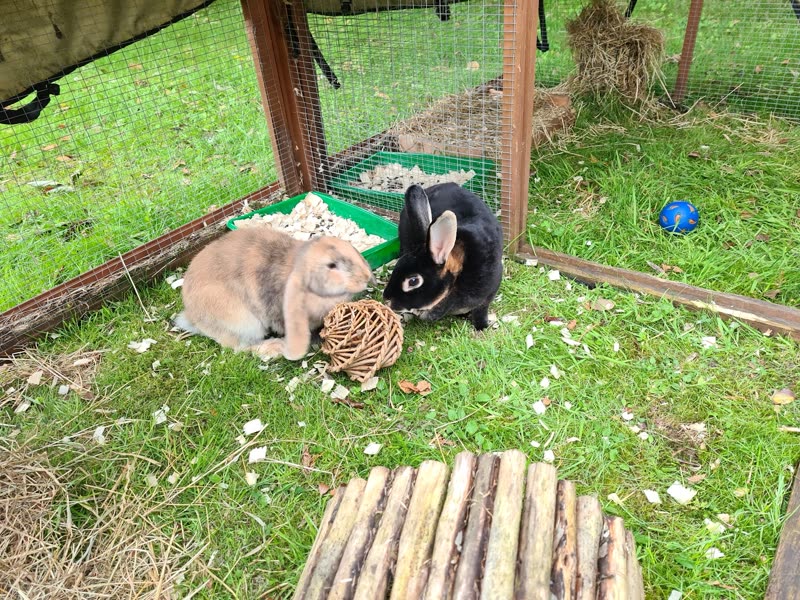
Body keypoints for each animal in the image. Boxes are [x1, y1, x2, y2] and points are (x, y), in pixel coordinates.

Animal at [174, 226, 374, 361]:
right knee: (239, 346)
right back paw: (274, 348)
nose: (366, 276)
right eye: (331, 265)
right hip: (244, 323)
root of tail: (192, 316)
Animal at [382, 182, 503, 330]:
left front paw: (482, 326)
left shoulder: (488, 294)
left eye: (413, 281)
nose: (386, 299)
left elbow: (481, 310)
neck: (457, 278)